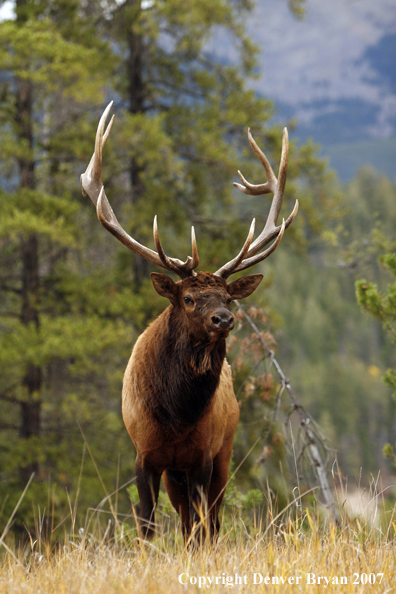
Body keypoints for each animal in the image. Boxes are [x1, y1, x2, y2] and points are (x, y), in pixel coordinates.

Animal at [79, 103, 296, 540]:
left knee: (208, 519)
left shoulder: (202, 456)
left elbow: (201, 525)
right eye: (189, 298)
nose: (224, 318)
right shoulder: (145, 455)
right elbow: (146, 522)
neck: (176, 416)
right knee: (184, 517)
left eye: (229, 296)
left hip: (224, 453)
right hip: (174, 473)